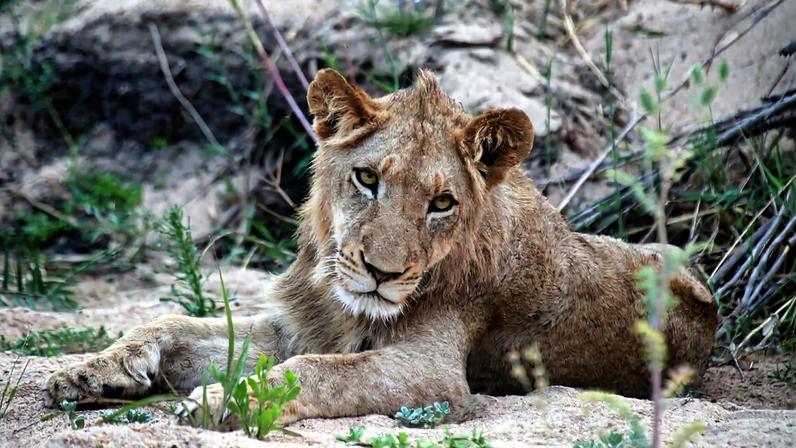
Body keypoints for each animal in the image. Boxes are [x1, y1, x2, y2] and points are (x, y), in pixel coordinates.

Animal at [46, 69, 717, 426]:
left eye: (442, 203)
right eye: (368, 178)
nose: (380, 272)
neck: (341, 298)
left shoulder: (432, 373)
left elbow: (316, 373)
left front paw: (221, 401)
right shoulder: (297, 327)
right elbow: (172, 324)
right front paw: (89, 370)